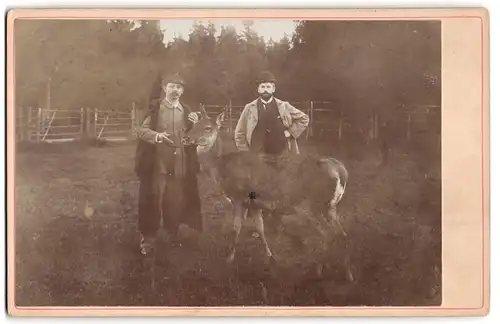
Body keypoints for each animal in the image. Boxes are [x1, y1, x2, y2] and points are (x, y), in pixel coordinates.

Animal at [185, 105, 356, 282]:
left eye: (207, 128)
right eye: (194, 124)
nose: (186, 138)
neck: (221, 169)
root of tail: (341, 172)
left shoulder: (238, 197)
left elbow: (236, 228)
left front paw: (229, 260)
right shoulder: (254, 203)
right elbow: (260, 228)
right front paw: (271, 258)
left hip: (311, 205)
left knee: (328, 234)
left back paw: (318, 270)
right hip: (330, 207)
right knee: (342, 234)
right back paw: (348, 274)